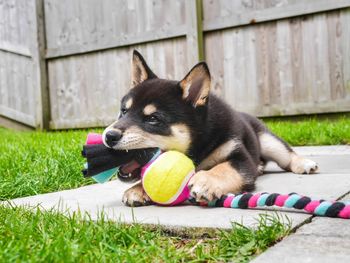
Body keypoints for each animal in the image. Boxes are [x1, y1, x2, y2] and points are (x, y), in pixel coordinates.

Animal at [101, 51, 318, 208]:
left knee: (286, 155)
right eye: (123, 111)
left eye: (153, 119)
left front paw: (206, 181)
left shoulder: (240, 157)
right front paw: (138, 189)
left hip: (268, 141)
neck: (197, 148)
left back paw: (304, 163)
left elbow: (223, 168)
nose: (109, 136)